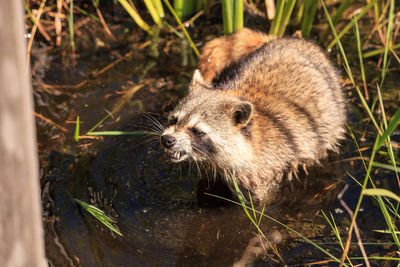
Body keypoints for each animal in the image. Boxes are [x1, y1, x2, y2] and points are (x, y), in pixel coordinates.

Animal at [159, 28, 344, 203]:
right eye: (174, 120)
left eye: (197, 131)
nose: (167, 139)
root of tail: (290, 39)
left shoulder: (262, 171)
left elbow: (257, 204)